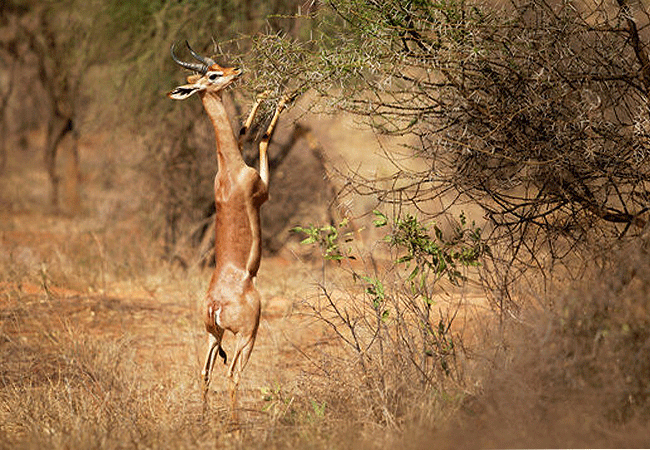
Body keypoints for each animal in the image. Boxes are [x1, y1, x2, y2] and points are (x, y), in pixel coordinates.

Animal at [168, 42, 284, 408]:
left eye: (218, 66)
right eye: (213, 76)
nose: (237, 71)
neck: (229, 170)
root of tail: (216, 305)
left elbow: (245, 131)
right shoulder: (263, 190)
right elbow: (263, 139)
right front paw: (282, 96)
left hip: (210, 335)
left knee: (205, 373)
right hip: (247, 335)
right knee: (233, 374)